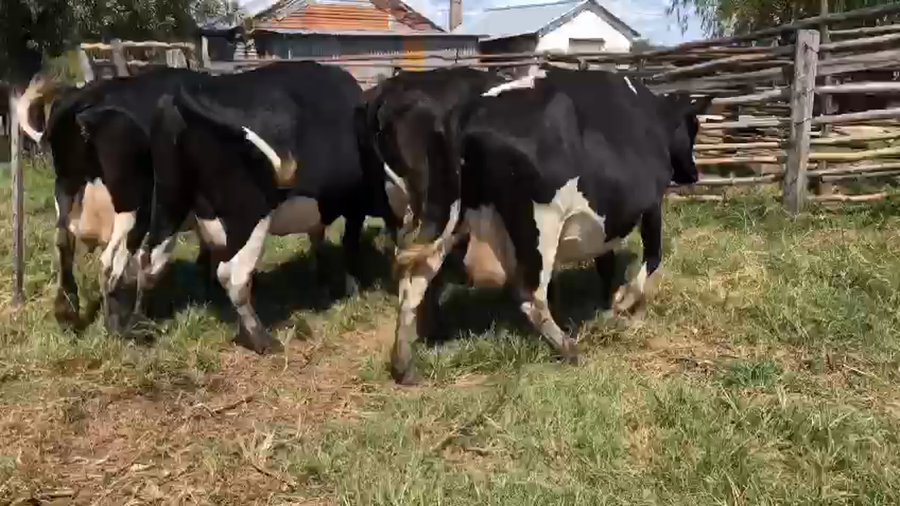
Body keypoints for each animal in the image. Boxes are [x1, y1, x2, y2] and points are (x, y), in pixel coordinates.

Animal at [15, 68, 217, 334]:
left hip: (67, 190)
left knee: (64, 244)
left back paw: (68, 313)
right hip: (133, 209)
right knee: (112, 263)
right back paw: (122, 326)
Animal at [134, 61, 397, 355]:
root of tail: (181, 96)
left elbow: (318, 239)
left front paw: (324, 279)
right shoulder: (354, 205)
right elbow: (349, 245)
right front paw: (351, 288)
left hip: (169, 202)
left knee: (147, 261)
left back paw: (138, 325)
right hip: (249, 214)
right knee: (232, 275)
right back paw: (261, 338)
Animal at [371, 67, 712, 384]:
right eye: (692, 126)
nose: (694, 173)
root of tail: (463, 112)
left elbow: (605, 262)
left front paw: (610, 299)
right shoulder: (652, 203)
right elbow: (653, 256)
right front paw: (625, 300)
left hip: (443, 216)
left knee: (414, 281)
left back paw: (404, 363)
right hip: (539, 224)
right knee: (530, 295)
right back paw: (568, 347)